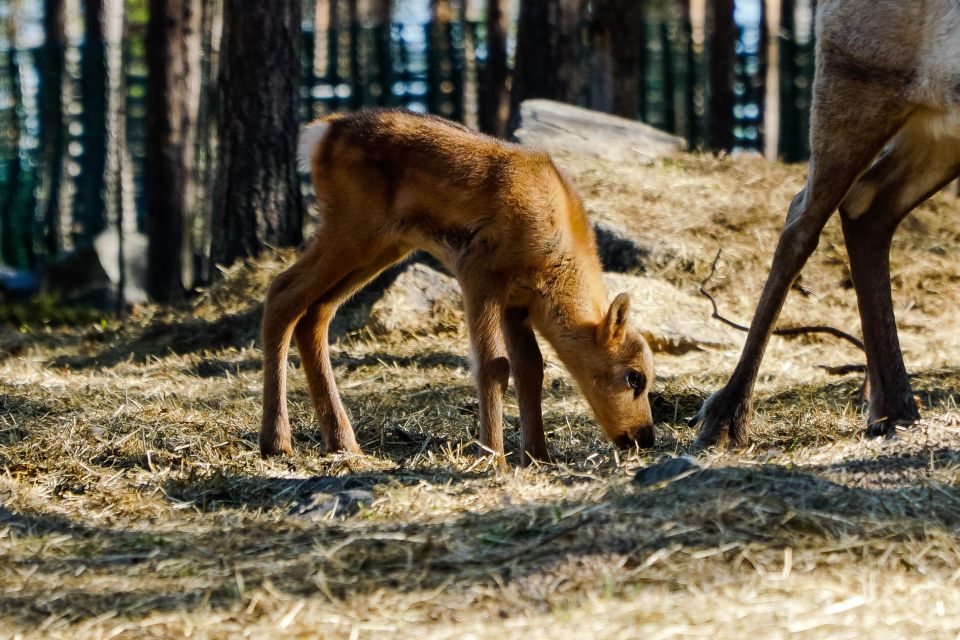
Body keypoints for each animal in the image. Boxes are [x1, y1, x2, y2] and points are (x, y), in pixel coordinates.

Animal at [259, 110, 656, 466]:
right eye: (634, 377)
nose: (644, 437)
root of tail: (320, 133)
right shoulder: (479, 271)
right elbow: (494, 366)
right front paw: (492, 458)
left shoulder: (516, 302)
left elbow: (531, 368)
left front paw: (537, 457)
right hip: (351, 229)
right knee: (282, 292)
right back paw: (277, 441)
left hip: (383, 246)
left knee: (315, 312)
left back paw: (342, 442)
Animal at [692, 0, 960, 447]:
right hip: (856, 83)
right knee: (802, 224)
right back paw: (726, 416)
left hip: (938, 131)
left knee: (869, 208)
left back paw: (893, 410)